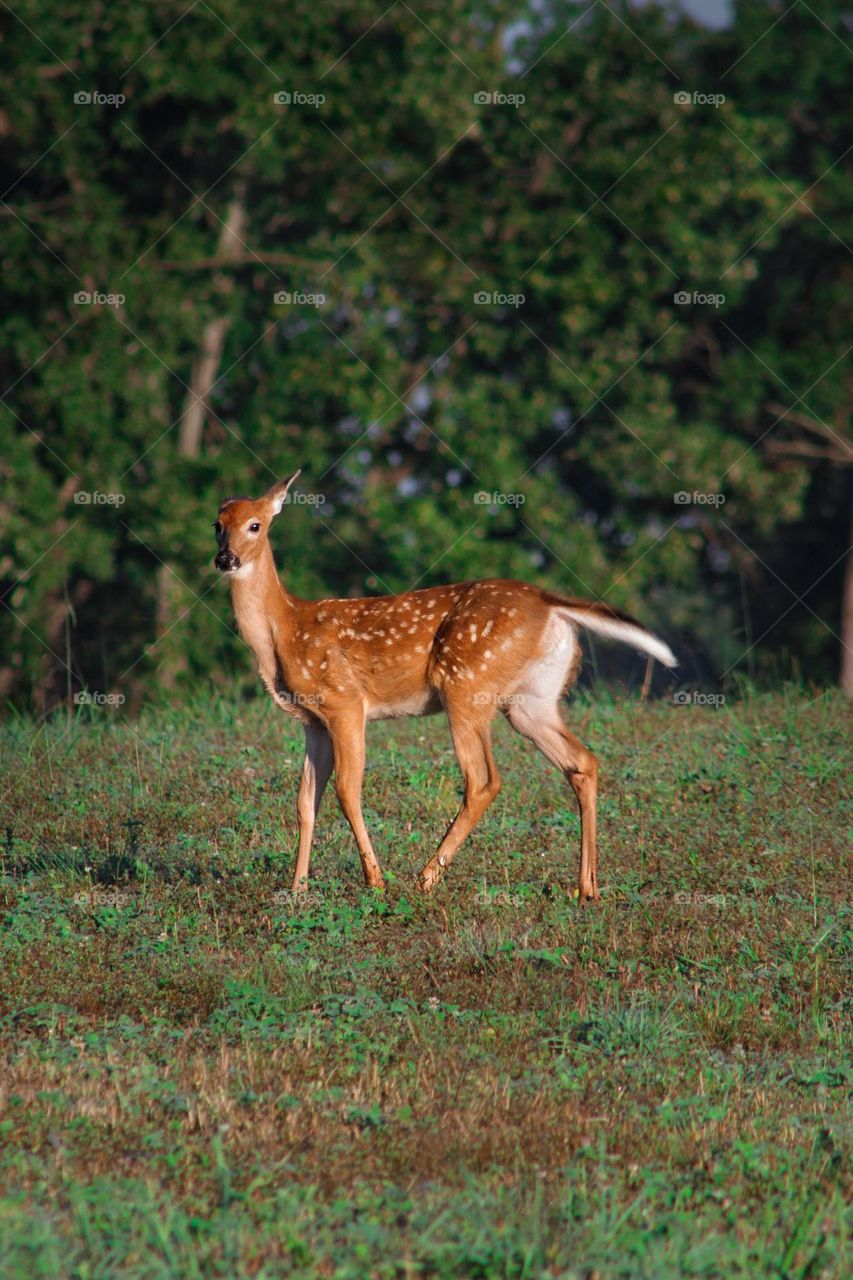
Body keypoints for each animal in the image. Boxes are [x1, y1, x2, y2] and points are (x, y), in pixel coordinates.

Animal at [216, 476, 676, 906]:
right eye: (217, 525)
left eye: (256, 525)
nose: (225, 558)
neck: (285, 632)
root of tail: (551, 603)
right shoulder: (312, 721)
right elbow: (306, 801)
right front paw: (296, 889)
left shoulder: (344, 700)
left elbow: (347, 791)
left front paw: (375, 881)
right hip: (530, 700)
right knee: (582, 762)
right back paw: (587, 888)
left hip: (466, 682)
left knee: (484, 779)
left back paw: (425, 878)